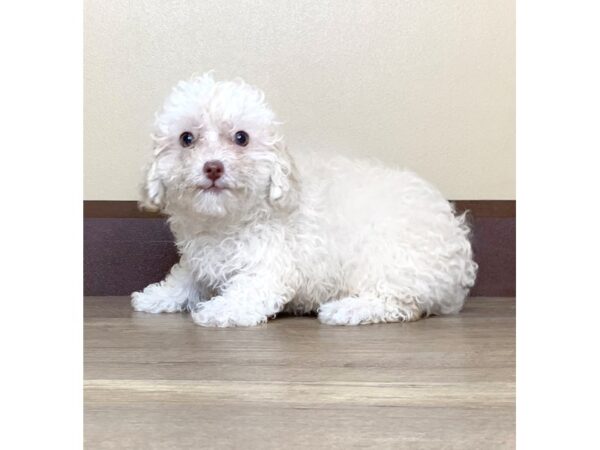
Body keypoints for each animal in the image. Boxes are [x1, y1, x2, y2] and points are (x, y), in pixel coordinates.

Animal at [132, 74, 478, 326]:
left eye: (241, 138)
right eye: (186, 139)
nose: (213, 167)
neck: (225, 221)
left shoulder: (270, 262)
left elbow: (249, 291)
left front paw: (220, 310)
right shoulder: (201, 258)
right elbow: (185, 277)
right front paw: (158, 296)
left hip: (390, 259)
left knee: (402, 303)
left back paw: (348, 309)